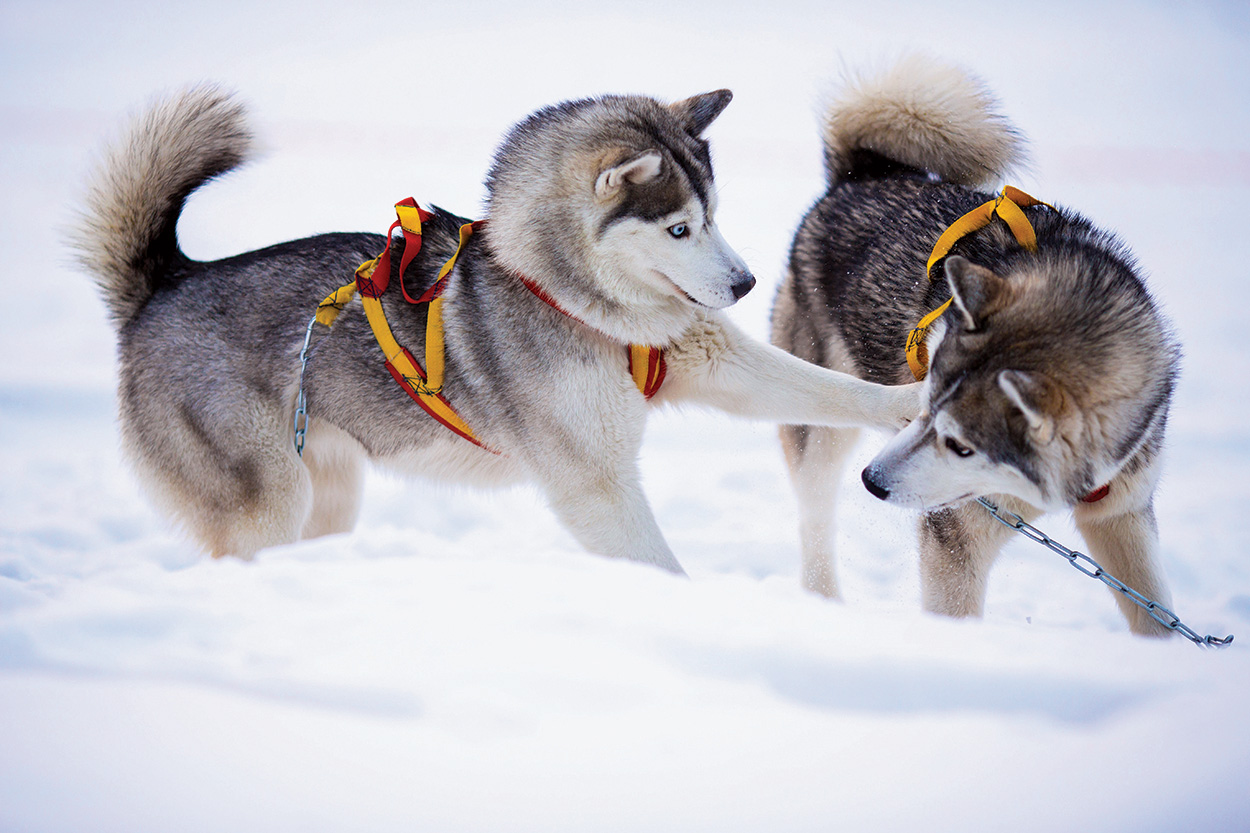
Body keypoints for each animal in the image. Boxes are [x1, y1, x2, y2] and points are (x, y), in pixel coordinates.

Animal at [80, 89, 920, 570]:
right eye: (678, 228)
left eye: (713, 214)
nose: (744, 282)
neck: (575, 300)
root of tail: (163, 285)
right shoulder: (595, 484)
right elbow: (655, 563)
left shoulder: (705, 356)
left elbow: (824, 385)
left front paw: (909, 403)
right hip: (269, 502)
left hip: (330, 491)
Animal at [770, 55, 1180, 632]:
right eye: (925, 405)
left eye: (961, 444)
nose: (872, 480)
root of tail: (864, 175)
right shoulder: (954, 535)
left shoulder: (1122, 512)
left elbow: (1157, 613)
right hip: (823, 422)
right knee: (814, 520)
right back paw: (822, 603)